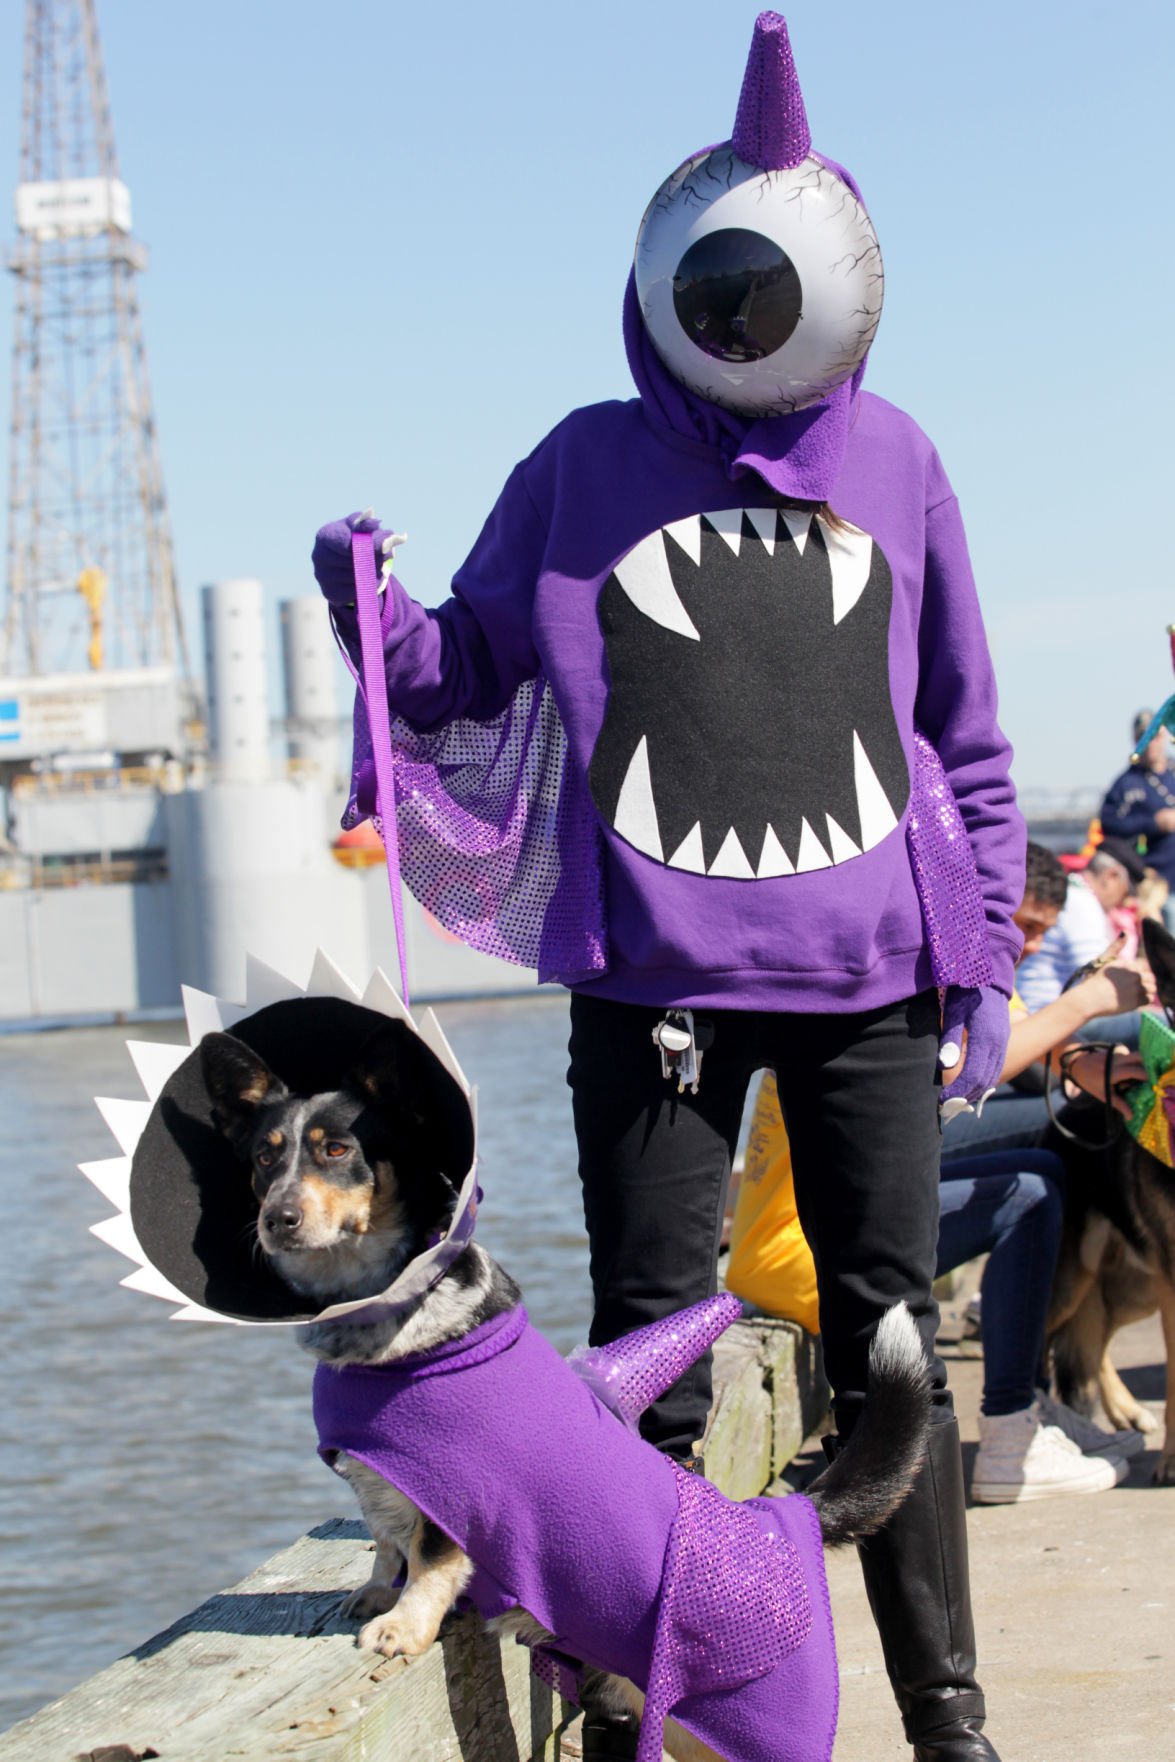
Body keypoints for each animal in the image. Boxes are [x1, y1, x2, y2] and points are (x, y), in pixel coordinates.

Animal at [202, 1029, 937, 1754]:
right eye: (265, 1158)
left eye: (337, 1150)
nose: (276, 1220)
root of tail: (784, 1519)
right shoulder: (382, 1480)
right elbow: (388, 1542)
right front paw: (377, 1593)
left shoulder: (459, 1489)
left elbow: (430, 1557)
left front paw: (401, 1628)